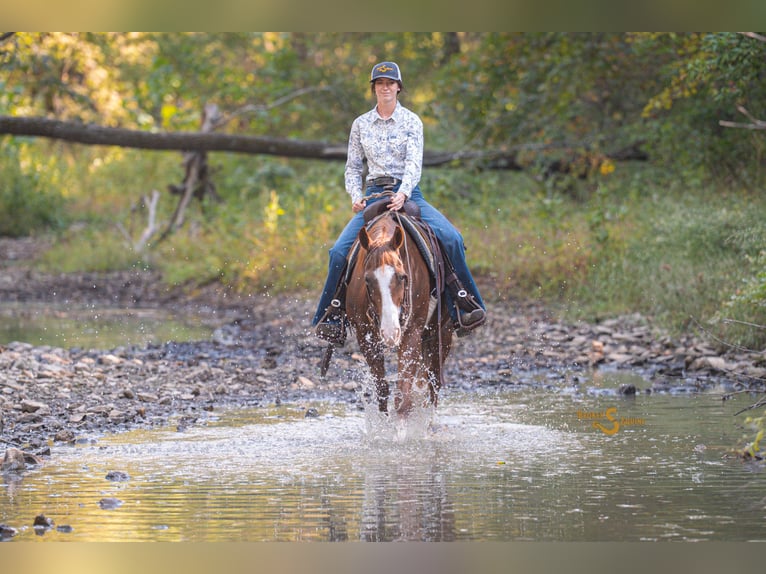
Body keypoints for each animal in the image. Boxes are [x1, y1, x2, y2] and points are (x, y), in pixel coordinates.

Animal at [346, 208, 453, 417]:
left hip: (442, 334)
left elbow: (403, 396)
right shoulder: (365, 336)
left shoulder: (412, 332)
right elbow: (382, 389)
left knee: (434, 384)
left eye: (403, 277)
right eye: (367, 280)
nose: (390, 332)